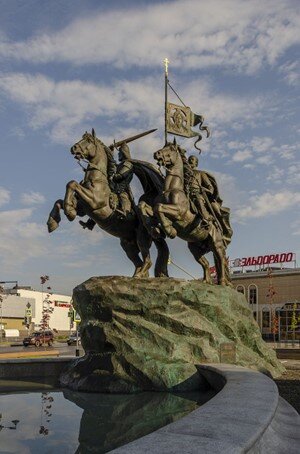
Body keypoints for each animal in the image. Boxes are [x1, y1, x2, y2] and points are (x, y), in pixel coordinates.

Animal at [47, 127, 169, 276]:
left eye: (88, 140)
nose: (73, 148)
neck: (97, 179)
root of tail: (153, 227)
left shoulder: (94, 202)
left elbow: (72, 183)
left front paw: (69, 212)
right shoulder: (82, 209)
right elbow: (60, 200)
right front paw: (53, 222)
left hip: (142, 238)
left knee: (147, 260)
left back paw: (138, 275)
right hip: (128, 244)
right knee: (139, 263)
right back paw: (136, 276)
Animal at [139, 141, 231, 284]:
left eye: (171, 148)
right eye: (164, 147)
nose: (157, 153)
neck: (171, 188)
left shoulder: (178, 212)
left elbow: (158, 207)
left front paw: (169, 230)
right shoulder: (157, 210)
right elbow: (145, 206)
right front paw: (155, 230)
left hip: (217, 243)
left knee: (220, 259)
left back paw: (221, 282)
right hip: (195, 247)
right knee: (205, 263)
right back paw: (206, 281)